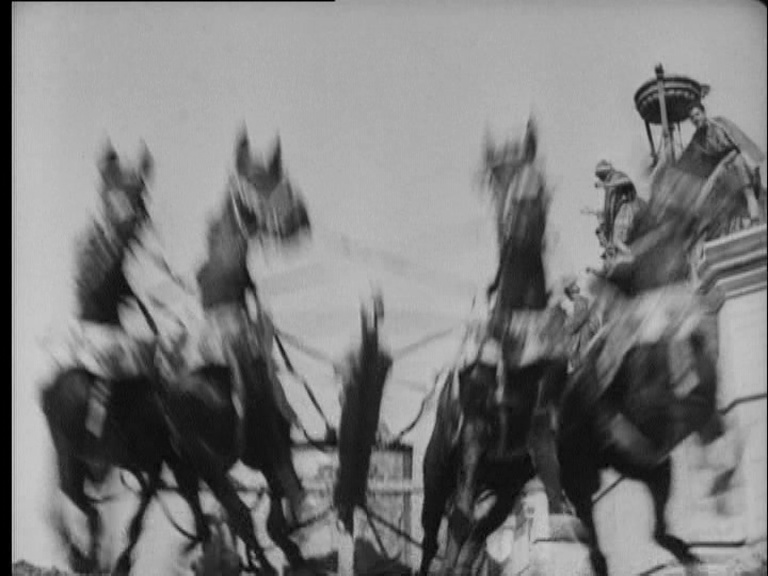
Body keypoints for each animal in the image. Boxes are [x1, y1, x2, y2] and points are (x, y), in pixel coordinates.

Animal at [419, 119, 570, 575]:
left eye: (539, 174)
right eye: (492, 177)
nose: (524, 213)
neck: (515, 331)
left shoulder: (540, 418)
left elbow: (551, 475)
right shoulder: (472, 428)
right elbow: (458, 519)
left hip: (501, 486)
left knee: (473, 536)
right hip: (436, 469)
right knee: (436, 531)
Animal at [556, 157, 742, 575]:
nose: (734, 187)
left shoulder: (701, 403)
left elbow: (723, 433)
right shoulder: (661, 406)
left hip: (652, 468)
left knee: (657, 530)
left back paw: (688, 552)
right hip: (583, 477)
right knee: (592, 538)